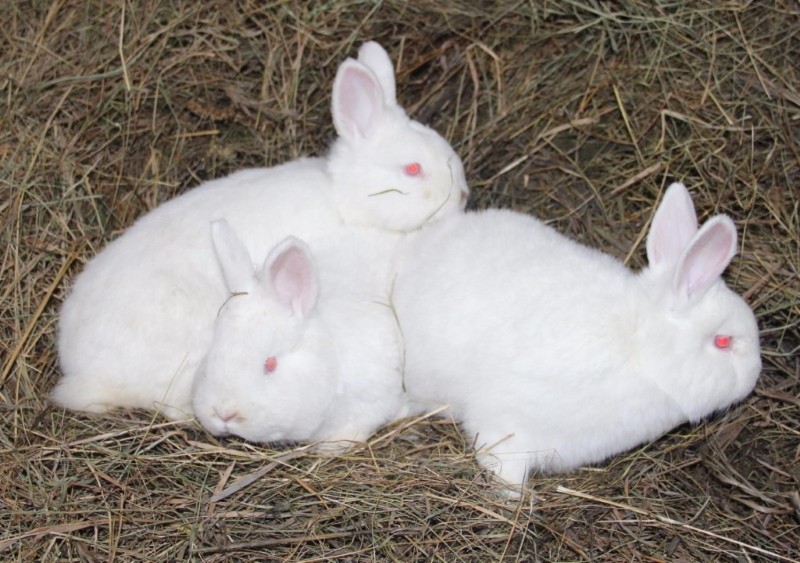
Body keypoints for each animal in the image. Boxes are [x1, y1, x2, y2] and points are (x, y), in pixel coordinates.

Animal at [394, 182, 764, 490]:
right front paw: (514, 499)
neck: (639, 350)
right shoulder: (508, 424)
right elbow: (504, 465)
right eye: (723, 341)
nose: (756, 373)